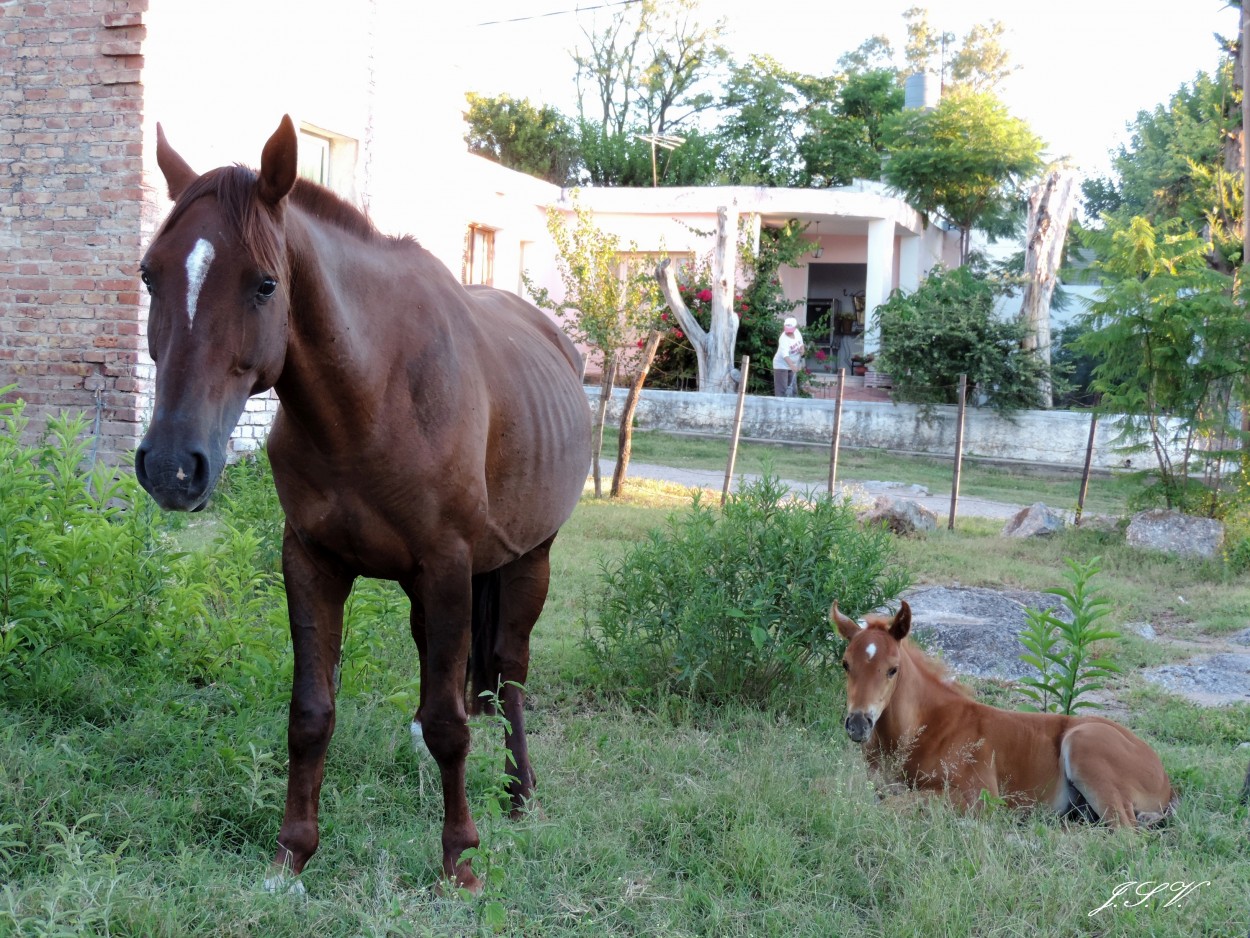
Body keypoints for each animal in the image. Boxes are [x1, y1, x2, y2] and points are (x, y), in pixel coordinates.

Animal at [134, 113, 592, 890]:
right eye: (148, 273)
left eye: (265, 284)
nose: (172, 467)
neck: (371, 398)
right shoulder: (313, 562)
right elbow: (312, 712)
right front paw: (292, 853)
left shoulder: (447, 565)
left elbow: (450, 721)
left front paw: (461, 860)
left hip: (531, 559)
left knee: (509, 675)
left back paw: (519, 792)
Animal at [830, 602, 1170, 830]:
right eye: (846, 664)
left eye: (892, 669)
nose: (858, 724)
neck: (926, 728)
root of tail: (1163, 775)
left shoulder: (980, 796)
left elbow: (894, 804)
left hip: (1085, 745)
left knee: (1126, 832)